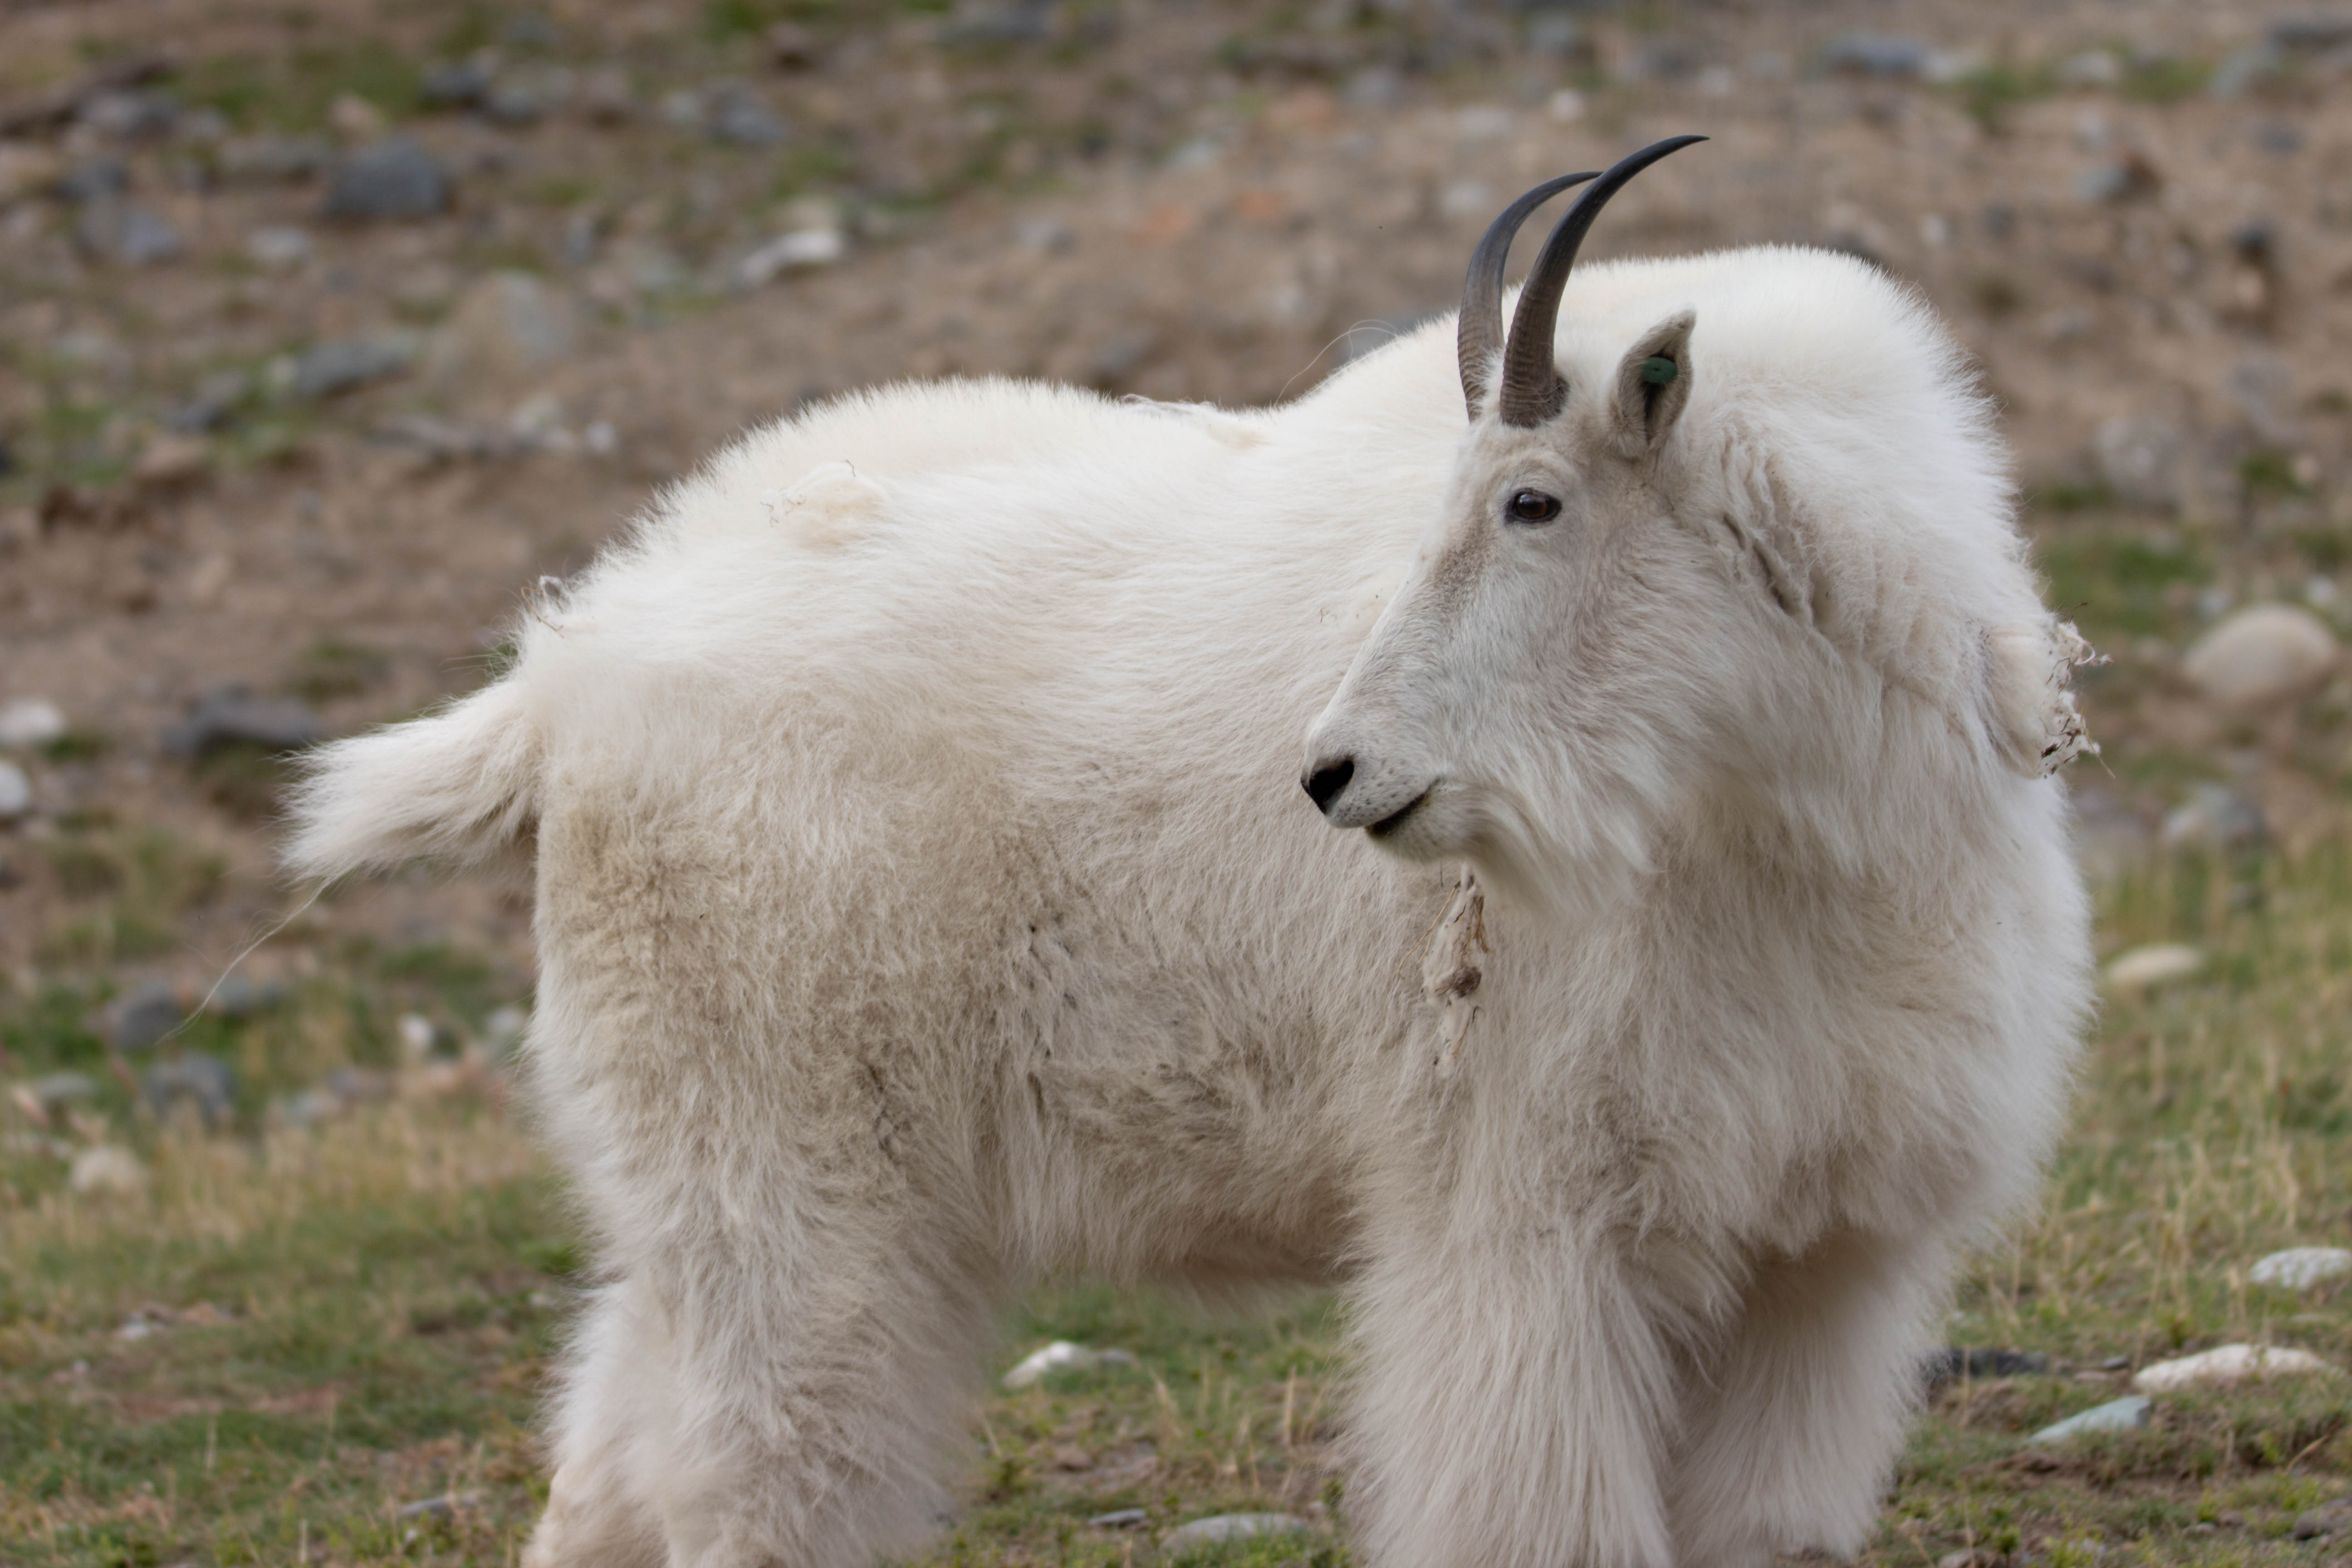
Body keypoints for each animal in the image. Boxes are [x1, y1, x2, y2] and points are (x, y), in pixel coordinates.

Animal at [286, 138, 2094, 1568]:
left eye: (1532, 502)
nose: (1339, 775)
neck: (1790, 835)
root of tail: (558, 683)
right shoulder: (1526, 1219)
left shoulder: (1828, 1247)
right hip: (788, 1177)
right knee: (755, 1482)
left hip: (698, 1193)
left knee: (614, 1458)